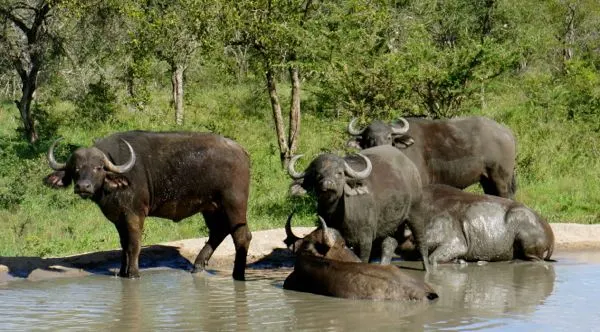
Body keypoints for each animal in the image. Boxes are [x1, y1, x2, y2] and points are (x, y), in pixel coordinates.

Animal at [44, 130, 251, 280]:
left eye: (98, 167)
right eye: (76, 168)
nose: (83, 186)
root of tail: (241, 151)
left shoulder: (135, 214)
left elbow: (134, 244)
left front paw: (133, 273)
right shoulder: (119, 218)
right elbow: (124, 245)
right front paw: (122, 271)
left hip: (234, 204)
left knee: (241, 236)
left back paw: (237, 275)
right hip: (210, 208)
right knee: (218, 231)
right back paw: (198, 265)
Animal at [286, 145, 422, 264]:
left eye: (339, 173)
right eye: (317, 174)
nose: (328, 183)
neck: (337, 214)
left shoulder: (365, 241)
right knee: (389, 244)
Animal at [346, 116, 516, 198]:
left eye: (389, 137)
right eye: (369, 139)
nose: (379, 147)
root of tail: (507, 133)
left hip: (502, 180)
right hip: (487, 180)